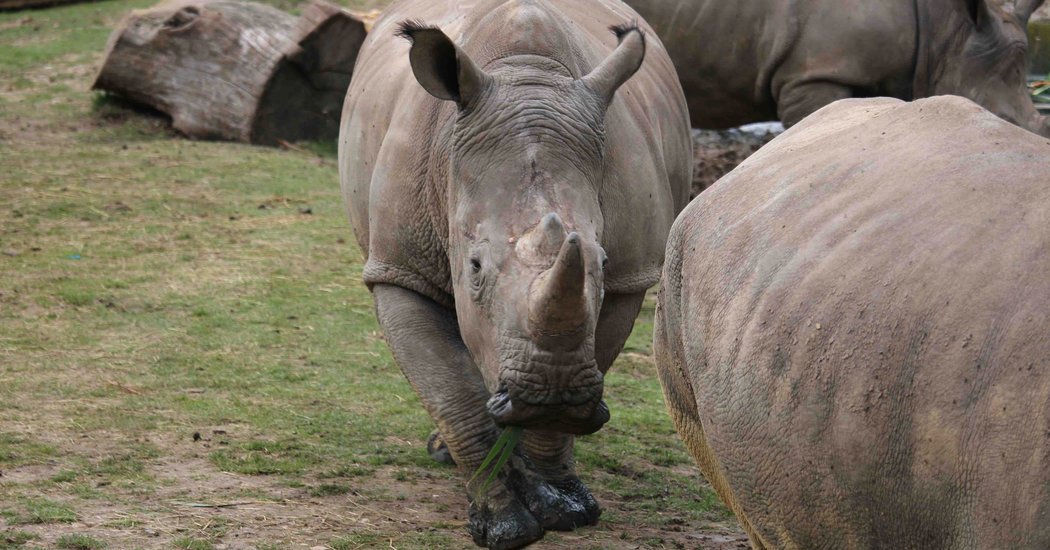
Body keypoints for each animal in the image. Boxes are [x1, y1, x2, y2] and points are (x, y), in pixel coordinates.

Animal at [337, 0, 691, 547]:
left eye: (603, 262)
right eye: (475, 266)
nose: (550, 393)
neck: (526, 75)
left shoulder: (630, 277)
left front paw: (563, 505)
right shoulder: (399, 267)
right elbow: (452, 394)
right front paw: (503, 525)